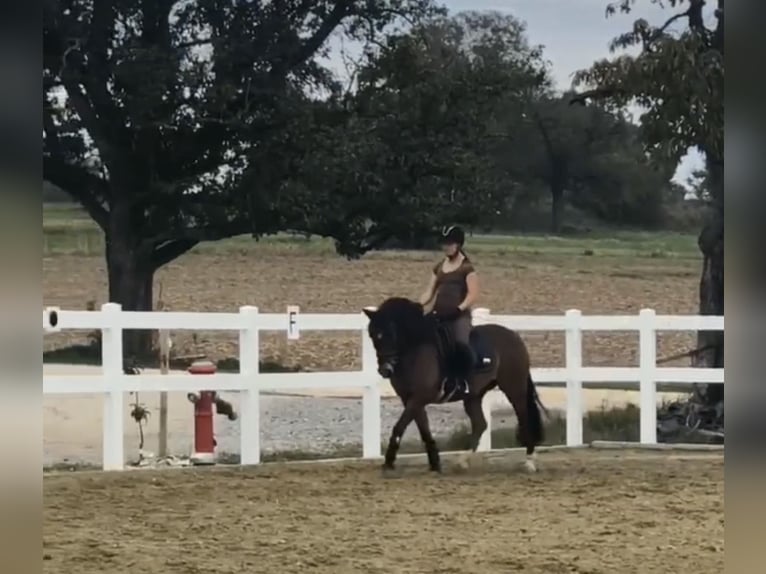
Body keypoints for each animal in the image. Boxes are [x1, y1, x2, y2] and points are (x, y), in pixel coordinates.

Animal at [364, 300, 548, 474]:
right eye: (372, 335)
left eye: (391, 333)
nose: (385, 370)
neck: (414, 353)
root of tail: (513, 336)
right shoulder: (410, 399)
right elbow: (424, 429)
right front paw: (435, 464)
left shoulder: (419, 397)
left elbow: (399, 426)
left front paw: (388, 463)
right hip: (474, 396)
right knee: (481, 424)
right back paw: (461, 461)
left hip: (514, 388)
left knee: (524, 418)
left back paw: (529, 462)